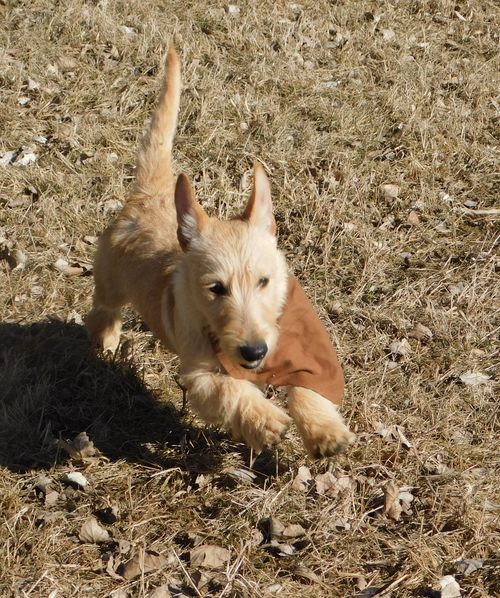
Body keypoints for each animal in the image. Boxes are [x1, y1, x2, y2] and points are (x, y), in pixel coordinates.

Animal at [86, 47, 354, 457]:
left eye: (264, 281)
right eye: (215, 289)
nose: (254, 352)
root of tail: (151, 192)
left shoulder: (308, 350)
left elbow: (311, 388)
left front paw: (325, 432)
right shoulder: (200, 374)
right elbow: (230, 390)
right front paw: (264, 419)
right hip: (111, 279)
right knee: (103, 308)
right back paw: (105, 339)